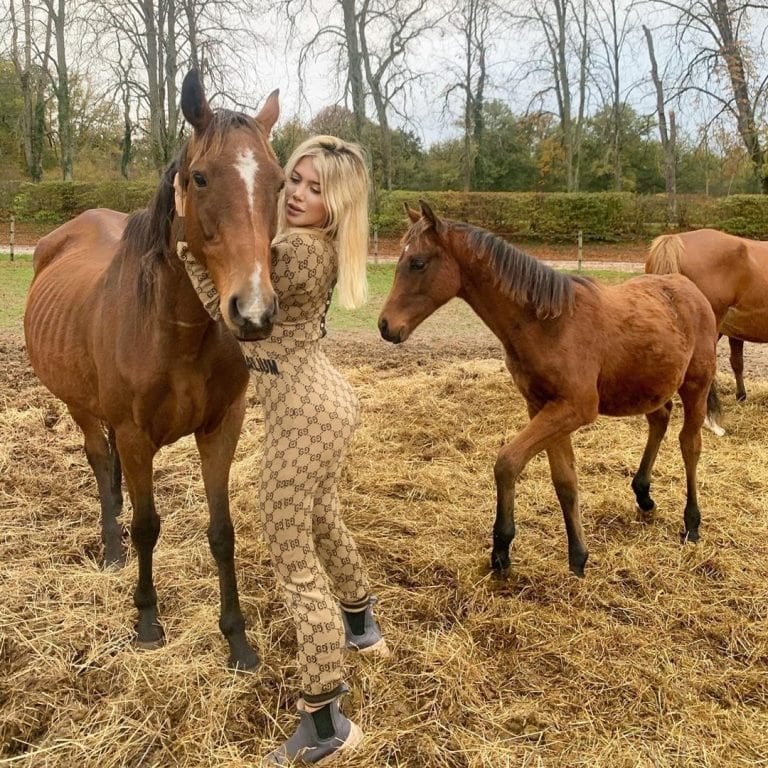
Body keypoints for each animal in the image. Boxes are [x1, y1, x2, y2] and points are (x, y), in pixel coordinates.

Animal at [24, 73, 284, 672]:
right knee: (100, 461)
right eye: (200, 177)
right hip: (80, 406)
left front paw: (237, 639)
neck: (175, 329)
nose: (253, 312)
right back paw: (111, 546)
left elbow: (222, 532)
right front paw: (146, 621)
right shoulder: (135, 434)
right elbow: (147, 528)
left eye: (280, 182)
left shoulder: (222, 429)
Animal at [378, 202, 720, 576]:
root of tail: (687, 287)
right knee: (659, 419)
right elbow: (564, 480)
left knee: (690, 444)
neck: (549, 323)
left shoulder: (574, 408)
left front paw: (501, 550)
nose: (385, 326)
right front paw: (578, 556)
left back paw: (692, 524)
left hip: (696, 384)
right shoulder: (543, 406)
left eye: (418, 262)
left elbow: (507, 462)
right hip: (648, 386)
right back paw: (643, 495)